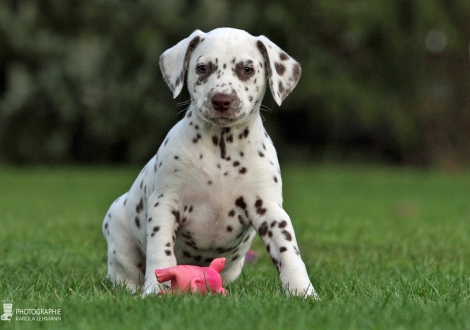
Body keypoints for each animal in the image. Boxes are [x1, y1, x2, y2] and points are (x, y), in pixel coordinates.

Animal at [101, 27, 318, 298]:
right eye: (203, 68)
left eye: (247, 69)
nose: (222, 100)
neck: (221, 149)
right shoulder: (165, 204)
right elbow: (161, 251)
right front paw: (156, 289)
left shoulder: (269, 210)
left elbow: (289, 253)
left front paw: (302, 292)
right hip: (118, 232)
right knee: (124, 274)